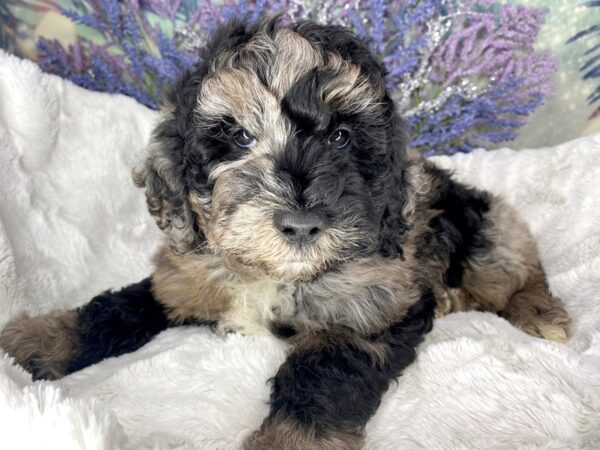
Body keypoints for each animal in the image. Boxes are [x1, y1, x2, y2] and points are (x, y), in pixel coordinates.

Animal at [0, 15, 572, 448]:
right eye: (239, 136)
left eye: (341, 138)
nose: (302, 222)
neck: (273, 273)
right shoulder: (182, 276)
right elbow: (117, 307)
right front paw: (37, 340)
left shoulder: (368, 312)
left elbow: (320, 375)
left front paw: (286, 441)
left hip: (487, 230)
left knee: (517, 267)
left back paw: (542, 314)